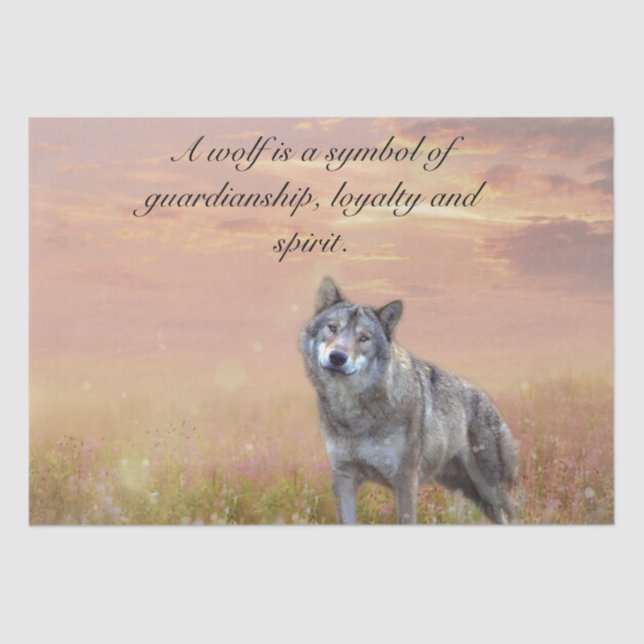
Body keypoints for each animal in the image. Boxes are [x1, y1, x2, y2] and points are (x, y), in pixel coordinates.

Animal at [299, 277, 519, 524]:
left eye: (363, 338)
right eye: (332, 328)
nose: (337, 357)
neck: (353, 414)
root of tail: (488, 401)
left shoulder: (404, 480)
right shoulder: (343, 477)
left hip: (492, 491)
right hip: (472, 493)